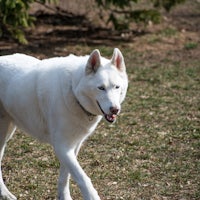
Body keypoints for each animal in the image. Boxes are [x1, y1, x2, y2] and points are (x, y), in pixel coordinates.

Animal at [0, 48, 128, 200]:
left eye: (117, 87)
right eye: (101, 88)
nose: (115, 109)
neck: (73, 90)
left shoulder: (72, 147)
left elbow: (66, 176)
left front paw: (64, 196)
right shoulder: (61, 147)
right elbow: (82, 178)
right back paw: (5, 193)